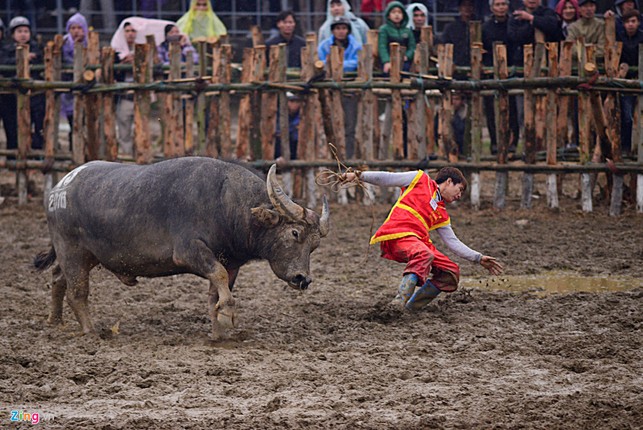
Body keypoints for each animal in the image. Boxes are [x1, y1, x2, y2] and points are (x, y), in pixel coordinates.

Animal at [33, 158, 330, 340]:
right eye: (295, 233)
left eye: (315, 245)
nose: (303, 279)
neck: (224, 201)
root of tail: (60, 188)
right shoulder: (190, 252)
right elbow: (218, 276)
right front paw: (228, 316)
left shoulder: (231, 262)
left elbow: (217, 291)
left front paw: (218, 331)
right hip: (72, 250)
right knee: (77, 292)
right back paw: (91, 331)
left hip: (86, 255)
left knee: (58, 278)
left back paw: (54, 321)